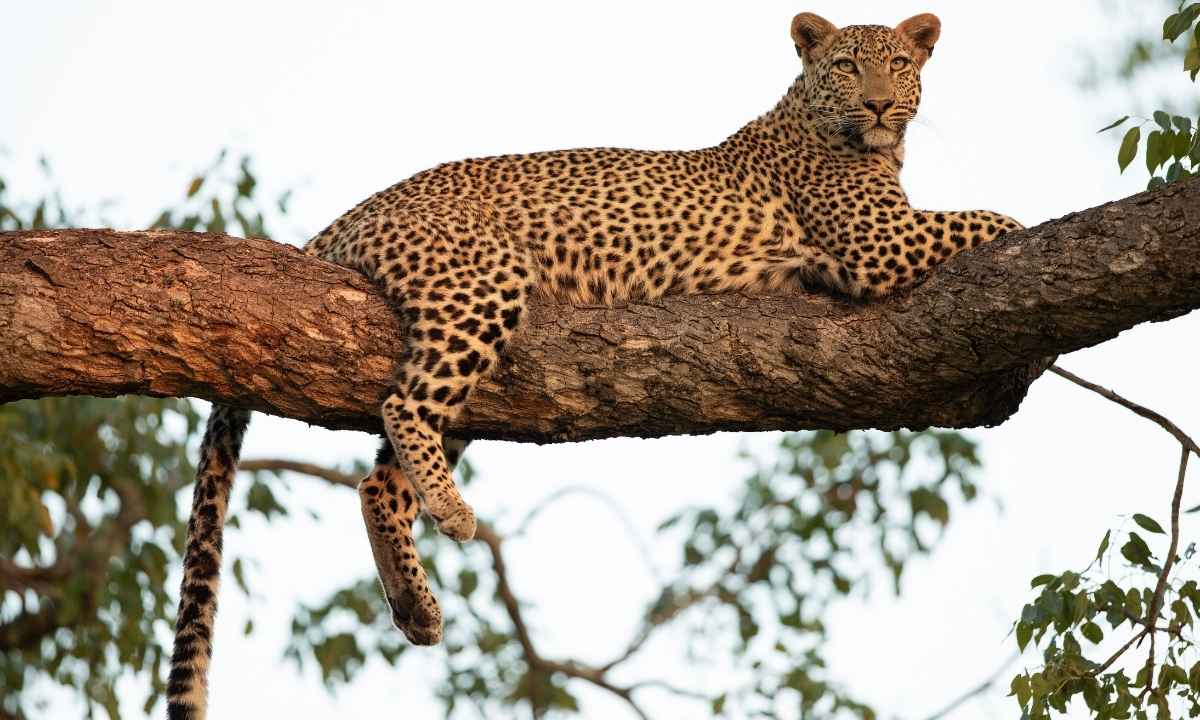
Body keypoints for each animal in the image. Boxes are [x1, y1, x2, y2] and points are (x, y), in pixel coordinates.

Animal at [165, 11, 1021, 719]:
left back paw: (416, 604)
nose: (878, 105)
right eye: (846, 65)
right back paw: (453, 513)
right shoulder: (879, 246)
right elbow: (990, 216)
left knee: (379, 479)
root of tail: (347, 216)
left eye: (897, 65)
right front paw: (1024, 228)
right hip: (482, 283)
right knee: (404, 409)